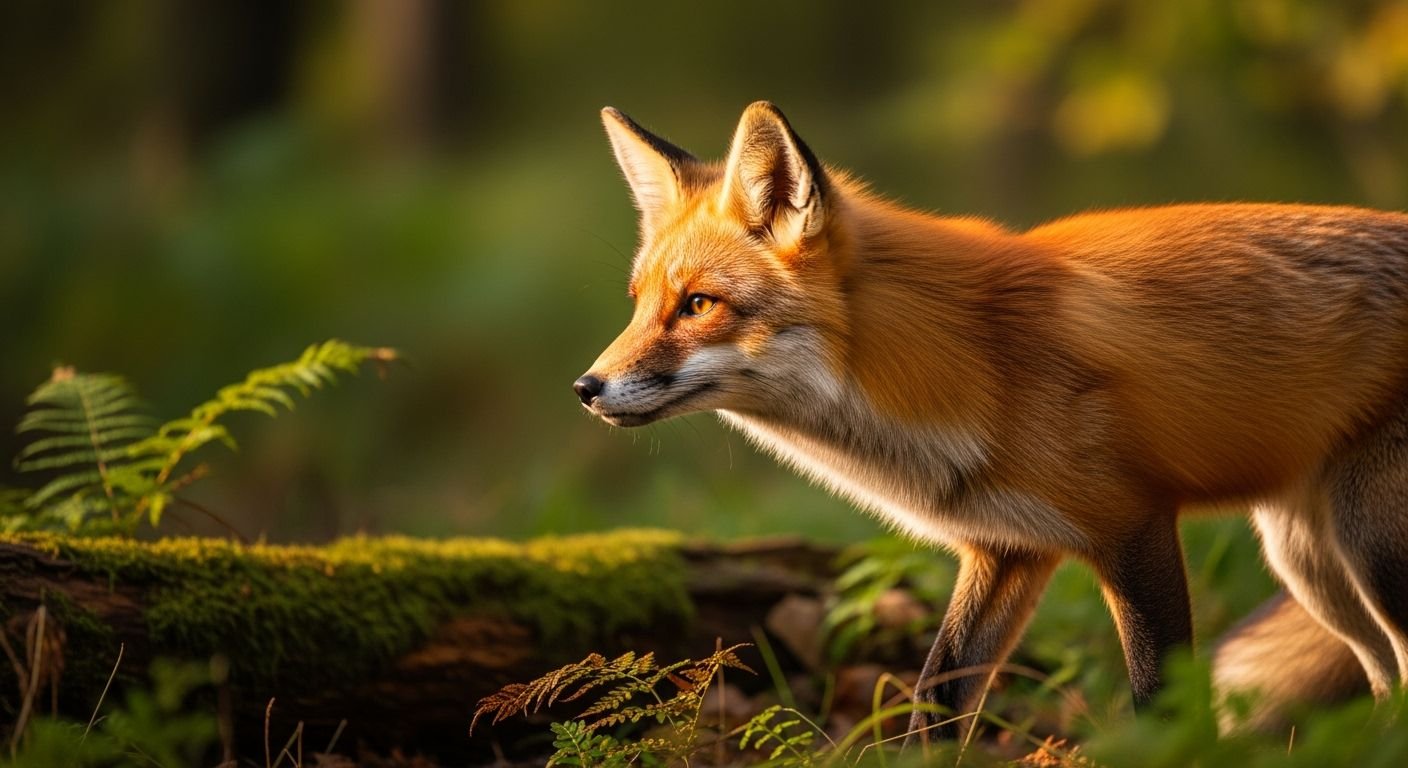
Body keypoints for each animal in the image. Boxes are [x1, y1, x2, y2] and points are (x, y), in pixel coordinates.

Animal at [574, 101, 1408, 739]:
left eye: (699, 304)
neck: (977, 360)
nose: (585, 387)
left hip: (1370, 550)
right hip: (1312, 564)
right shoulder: (1006, 548)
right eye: (640, 302)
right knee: (1386, 678)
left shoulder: (1134, 526)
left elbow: (1157, 704)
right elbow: (933, 702)